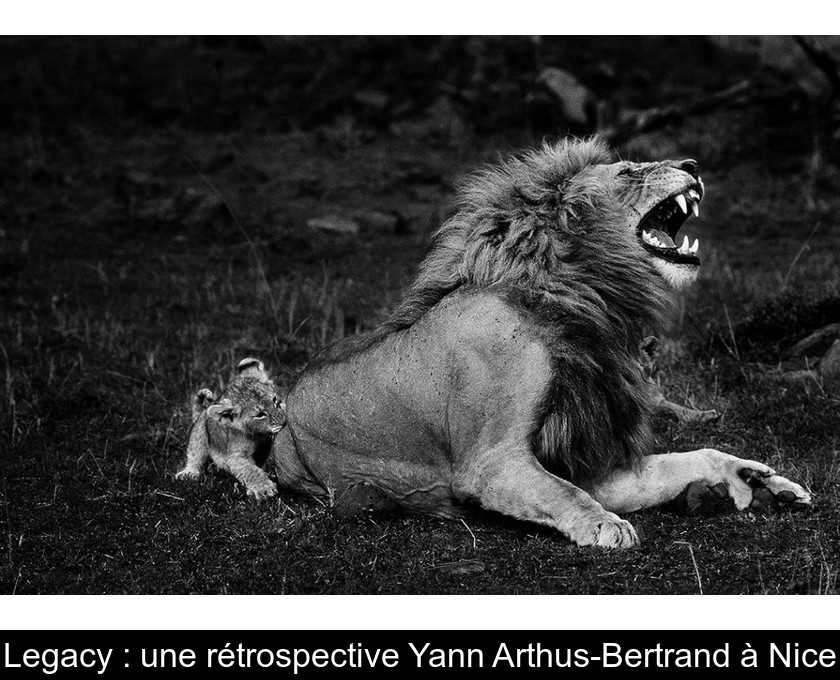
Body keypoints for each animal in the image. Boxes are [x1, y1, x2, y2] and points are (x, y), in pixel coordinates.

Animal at [176, 356, 286, 500]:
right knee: (195, 455)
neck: (258, 435)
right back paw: (189, 473)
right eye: (260, 415)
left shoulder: (263, 449)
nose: (284, 422)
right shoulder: (234, 457)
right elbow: (250, 470)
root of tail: (203, 411)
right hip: (199, 435)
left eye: (274, 400)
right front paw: (263, 488)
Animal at [272, 138, 812, 548]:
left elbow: (697, 455)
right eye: (628, 171)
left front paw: (761, 481)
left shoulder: (588, 457)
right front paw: (606, 526)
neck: (589, 296)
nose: (693, 166)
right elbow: (563, 494)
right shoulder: (492, 462)